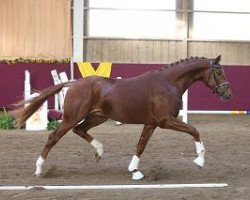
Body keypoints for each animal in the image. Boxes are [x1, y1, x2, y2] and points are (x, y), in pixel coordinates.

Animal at [14, 55, 232, 180]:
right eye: (219, 71)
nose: (228, 94)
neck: (169, 83)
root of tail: (74, 83)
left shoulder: (151, 123)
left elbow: (140, 145)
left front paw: (135, 170)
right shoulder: (165, 120)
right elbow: (194, 131)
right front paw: (200, 160)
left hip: (97, 117)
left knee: (80, 130)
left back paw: (99, 151)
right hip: (71, 117)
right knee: (54, 137)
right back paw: (39, 169)